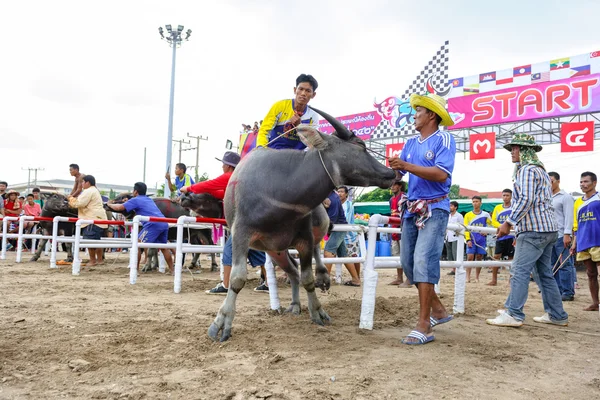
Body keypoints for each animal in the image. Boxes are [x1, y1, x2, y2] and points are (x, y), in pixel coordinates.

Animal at [209, 108, 396, 342]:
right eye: (360, 145)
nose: (391, 172)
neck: (278, 191)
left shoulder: (304, 238)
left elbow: (308, 277)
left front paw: (317, 311)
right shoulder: (241, 235)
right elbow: (237, 279)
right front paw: (221, 322)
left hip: (316, 227)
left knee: (313, 254)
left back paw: (322, 277)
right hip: (274, 252)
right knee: (293, 272)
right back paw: (296, 304)